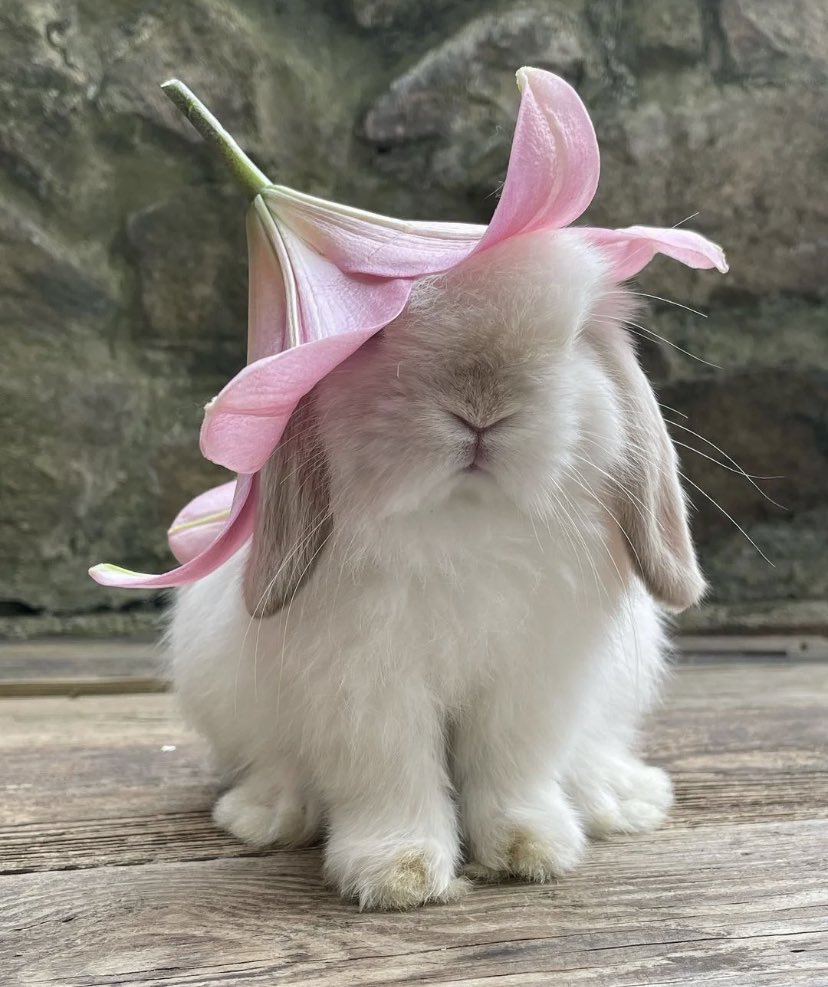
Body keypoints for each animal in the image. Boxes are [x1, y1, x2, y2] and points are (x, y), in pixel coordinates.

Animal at [169, 227, 704, 910]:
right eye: (374, 335)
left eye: (577, 334)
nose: (483, 405)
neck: (464, 526)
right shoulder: (367, 687)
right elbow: (390, 773)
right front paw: (398, 875)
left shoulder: (532, 681)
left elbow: (514, 766)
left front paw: (532, 851)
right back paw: (269, 814)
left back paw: (620, 799)